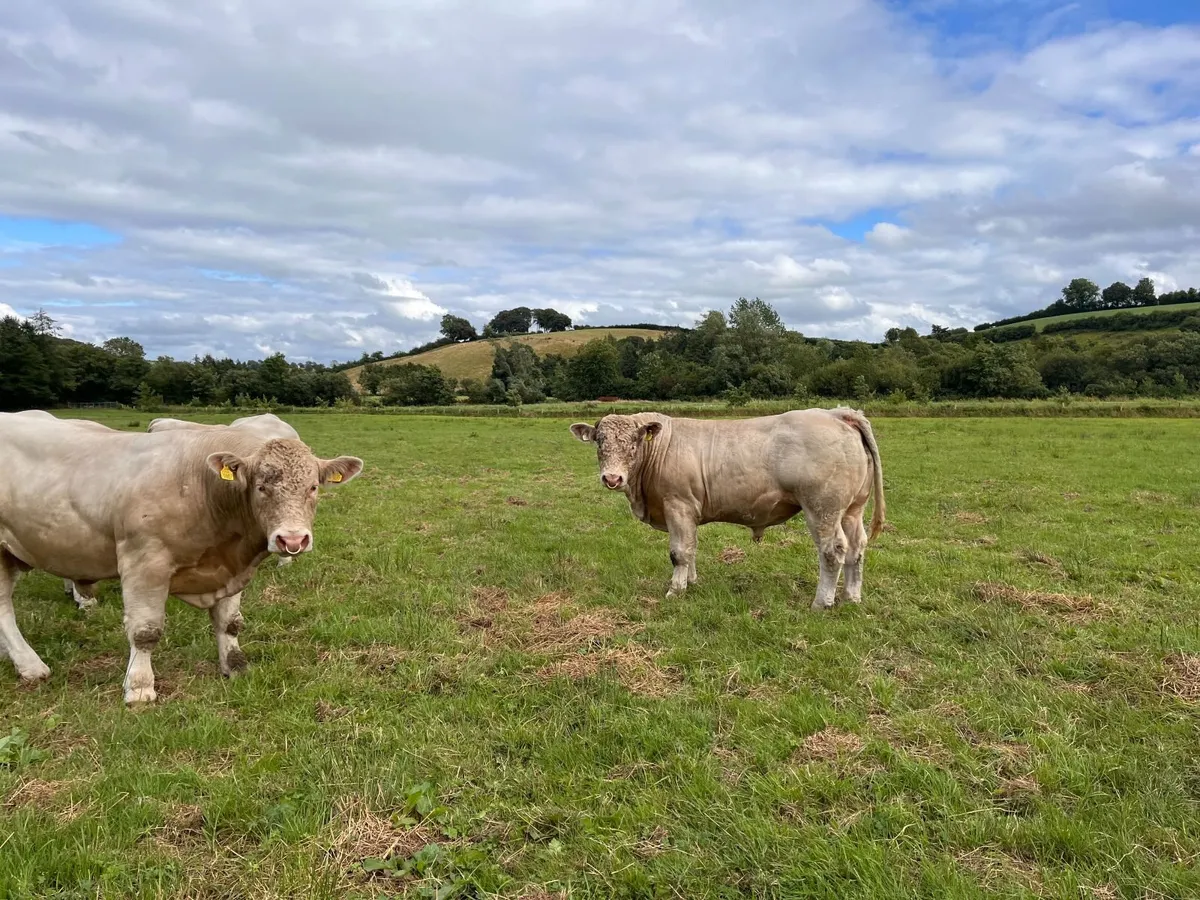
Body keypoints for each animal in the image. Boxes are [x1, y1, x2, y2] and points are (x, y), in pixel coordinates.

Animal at [0, 412, 363, 704]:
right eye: (261, 487)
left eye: (313, 487)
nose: (292, 539)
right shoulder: (144, 561)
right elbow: (145, 631)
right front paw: (140, 688)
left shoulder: (231, 569)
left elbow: (230, 623)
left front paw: (235, 667)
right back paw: (32, 666)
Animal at [569, 407, 885, 610]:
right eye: (599, 441)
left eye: (634, 443)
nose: (612, 478)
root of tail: (838, 413)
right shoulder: (688, 512)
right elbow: (691, 548)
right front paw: (692, 582)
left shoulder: (678, 505)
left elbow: (678, 552)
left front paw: (675, 590)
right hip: (852, 509)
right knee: (857, 548)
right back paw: (851, 597)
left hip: (823, 509)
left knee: (833, 551)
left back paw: (822, 602)